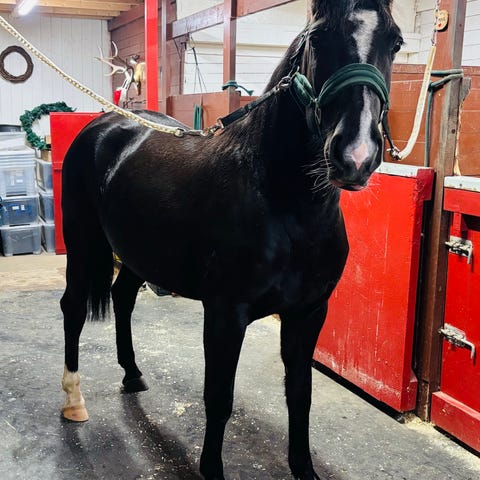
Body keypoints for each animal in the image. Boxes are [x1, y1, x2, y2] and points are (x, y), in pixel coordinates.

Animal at [60, 1, 402, 478]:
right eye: (318, 38)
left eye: (395, 42)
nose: (355, 155)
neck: (284, 205)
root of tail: (105, 125)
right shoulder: (225, 314)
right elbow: (218, 398)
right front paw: (211, 468)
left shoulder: (309, 313)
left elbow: (301, 394)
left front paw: (303, 467)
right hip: (82, 242)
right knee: (73, 307)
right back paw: (74, 401)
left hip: (138, 255)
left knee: (123, 297)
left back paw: (132, 374)